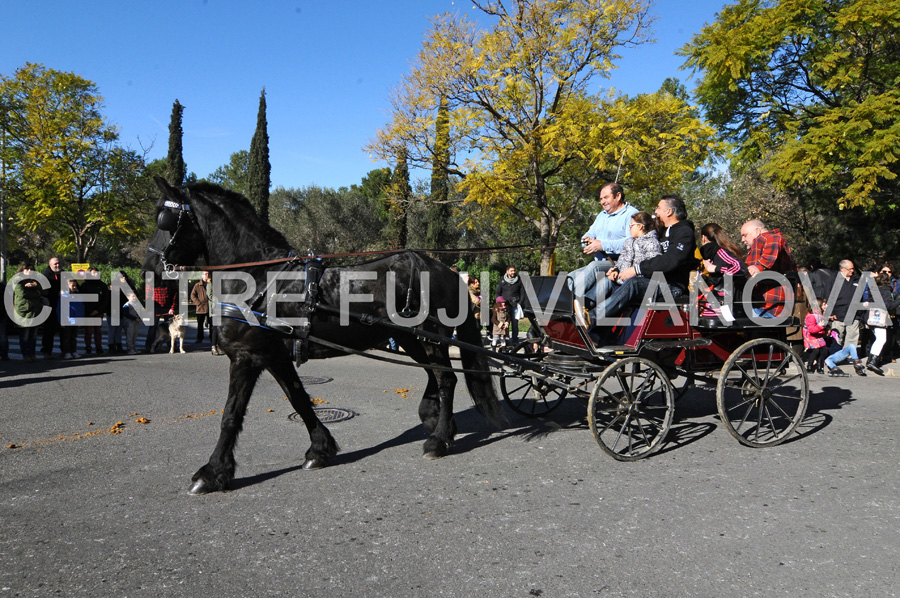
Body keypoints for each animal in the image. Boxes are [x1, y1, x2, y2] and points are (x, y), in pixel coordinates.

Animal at [144, 178, 502, 496]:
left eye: (165, 218)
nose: (149, 266)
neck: (261, 278)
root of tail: (446, 270)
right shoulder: (273, 355)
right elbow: (299, 398)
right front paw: (320, 448)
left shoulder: (246, 356)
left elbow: (230, 415)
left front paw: (213, 473)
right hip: (412, 339)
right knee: (434, 375)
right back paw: (436, 419)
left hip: (432, 336)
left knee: (446, 380)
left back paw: (439, 439)